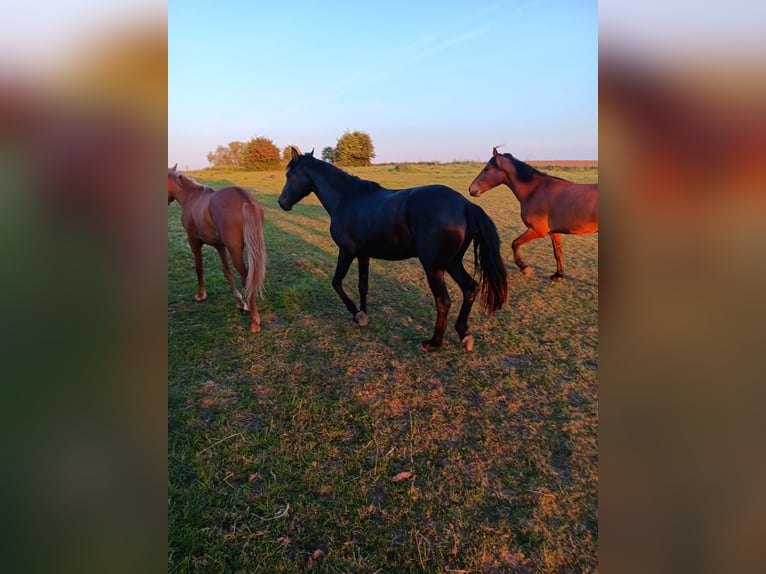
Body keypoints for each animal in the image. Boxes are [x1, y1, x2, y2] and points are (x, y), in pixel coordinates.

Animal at [167, 165, 267, 333]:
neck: (191, 198)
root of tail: (245, 199)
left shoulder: (194, 242)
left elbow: (198, 267)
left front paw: (201, 295)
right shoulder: (220, 246)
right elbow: (227, 272)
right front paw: (240, 302)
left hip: (235, 250)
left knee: (245, 276)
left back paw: (255, 320)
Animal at [278, 148, 508, 352]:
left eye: (290, 175)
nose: (282, 202)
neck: (347, 199)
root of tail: (466, 205)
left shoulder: (347, 251)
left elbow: (336, 282)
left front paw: (356, 314)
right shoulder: (363, 254)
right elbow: (363, 285)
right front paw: (363, 314)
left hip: (434, 267)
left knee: (444, 301)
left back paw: (432, 343)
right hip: (452, 262)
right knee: (470, 288)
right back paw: (463, 333)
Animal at [469, 148, 598, 281]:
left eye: (487, 169)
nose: (471, 189)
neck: (534, 191)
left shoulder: (537, 231)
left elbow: (515, 243)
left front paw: (524, 268)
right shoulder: (554, 232)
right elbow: (557, 252)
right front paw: (558, 275)